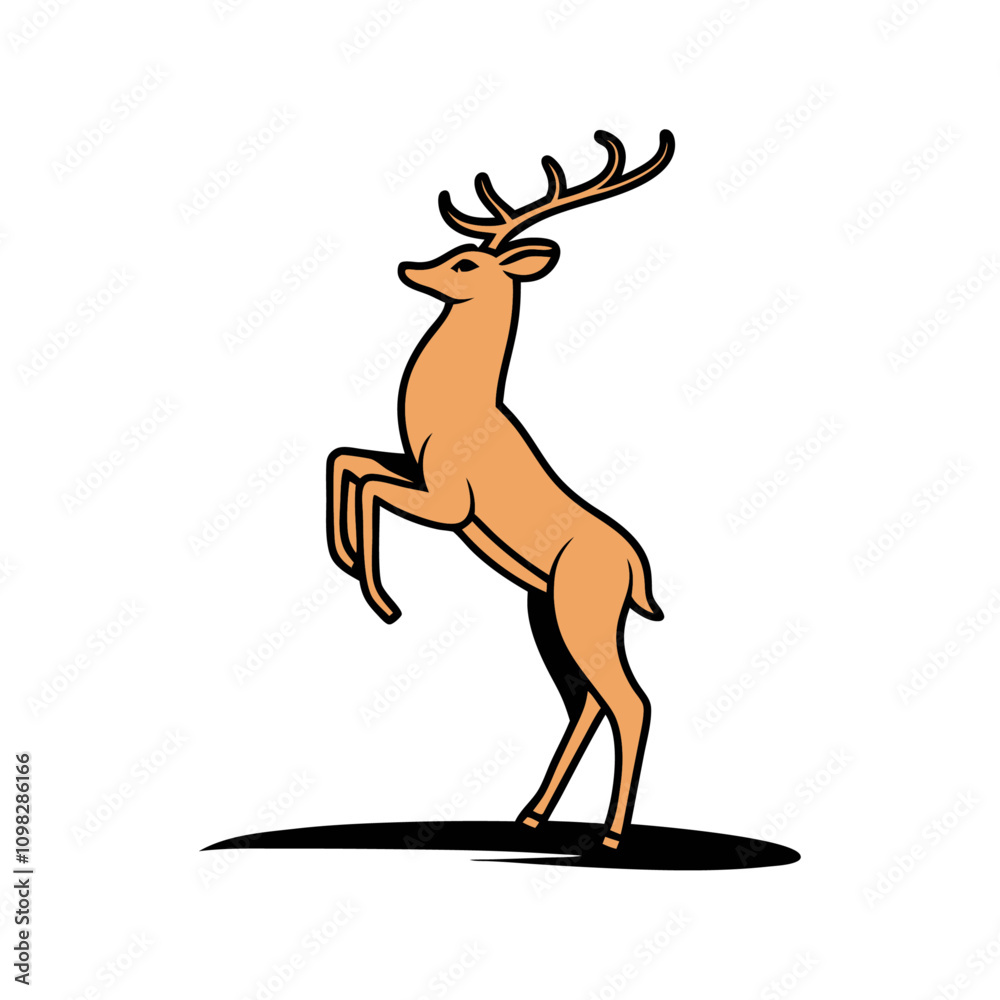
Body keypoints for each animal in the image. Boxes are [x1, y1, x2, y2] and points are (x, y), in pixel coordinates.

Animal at [327, 129, 675, 850]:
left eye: (465, 264)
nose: (409, 266)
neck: (461, 410)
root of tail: (636, 570)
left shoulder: (448, 503)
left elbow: (365, 479)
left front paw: (382, 599)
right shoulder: (416, 468)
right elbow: (346, 458)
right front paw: (345, 559)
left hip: (583, 610)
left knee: (630, 701)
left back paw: (611, 835)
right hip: (547, 611)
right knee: (588, 701)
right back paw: (533, 815)